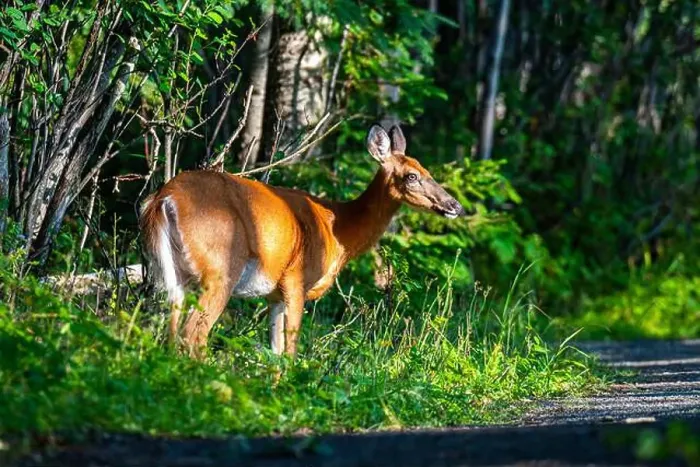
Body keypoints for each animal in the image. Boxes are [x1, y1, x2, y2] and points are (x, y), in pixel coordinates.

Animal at [139, 124, 466, 359]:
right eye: (412, 176)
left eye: (428, 171)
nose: (455, 206)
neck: (338, 229)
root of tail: (164, 199)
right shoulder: (296, 281)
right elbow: (291, 352)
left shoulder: (274, 296)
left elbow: (275, 351)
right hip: (221, 268)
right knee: (194, 335)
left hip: (176, 274)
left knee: (172, 331)